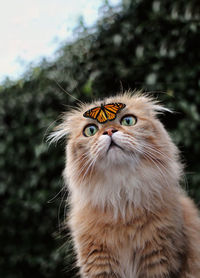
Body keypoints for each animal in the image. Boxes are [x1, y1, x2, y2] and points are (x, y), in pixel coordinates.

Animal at [49, 93, 200, 278]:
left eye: (128, 121)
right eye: (90, 130)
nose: (109, 131)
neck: (121, 199)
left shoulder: (160, 260)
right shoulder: (98, 264)